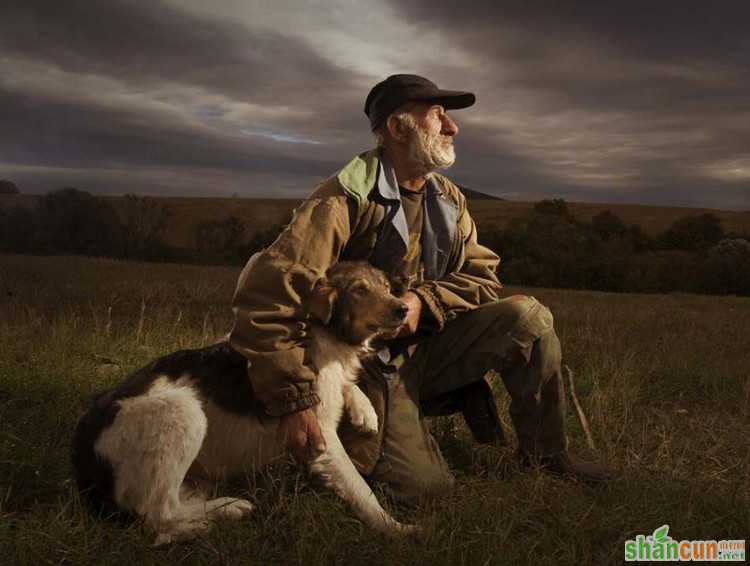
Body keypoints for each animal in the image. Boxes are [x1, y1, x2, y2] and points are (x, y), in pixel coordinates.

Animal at [73, 262, 420, 544]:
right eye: (360, 290)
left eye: (386, 287)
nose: (403, 309)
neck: (324, 334)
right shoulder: (321, 436)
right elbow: (361, 489)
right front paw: (395, 528)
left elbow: (349, 386)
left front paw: (366, 412)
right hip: (181, 411)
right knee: (157, 514)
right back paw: (216, 516)